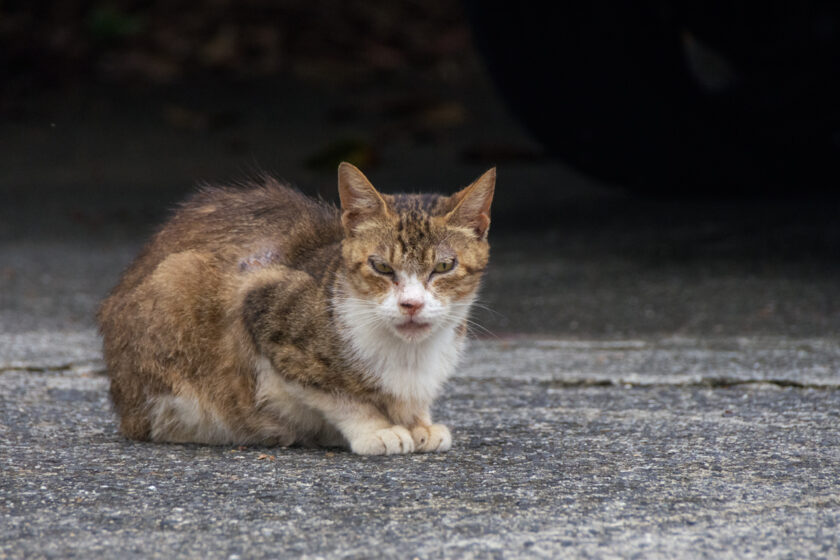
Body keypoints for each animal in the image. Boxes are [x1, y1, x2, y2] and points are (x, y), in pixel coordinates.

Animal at [97, 162, 492, 456]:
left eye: (444, 267)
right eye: (381, 267)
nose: (411, 304)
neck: (409, 355)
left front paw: (418, 421)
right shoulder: (262, 305)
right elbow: (333, 394)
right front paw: (376, 429)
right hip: (177, 280)